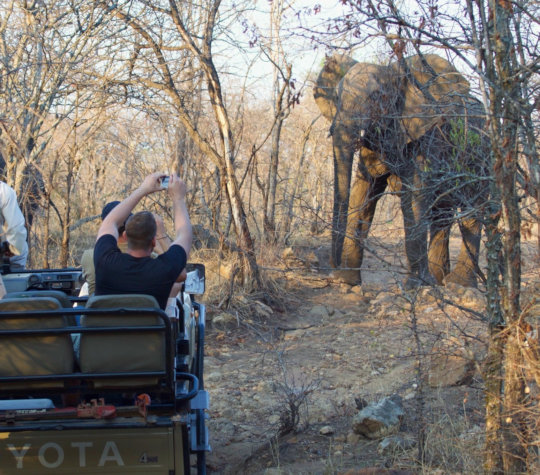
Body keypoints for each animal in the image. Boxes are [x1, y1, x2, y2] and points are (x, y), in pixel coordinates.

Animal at [314, 54, 492, 288]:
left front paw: (416, 287)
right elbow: (364, 193)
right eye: (336, 96)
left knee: (472, 211)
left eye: (376, 97)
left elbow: (414, 197)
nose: (332, 270)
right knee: (442, 216)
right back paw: (439, 281)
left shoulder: (427, 136)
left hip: (482, 156)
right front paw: (348, 281)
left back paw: (457, 285)